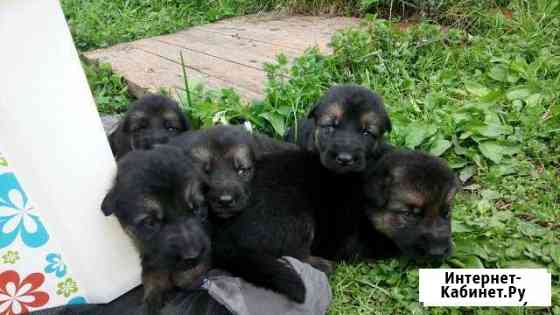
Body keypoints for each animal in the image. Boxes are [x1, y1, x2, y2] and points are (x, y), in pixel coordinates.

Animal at [99, 147, 209, 314]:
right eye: (150, 222)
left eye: (197, 209)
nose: (193, 256)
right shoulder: (148, 252)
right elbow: (152, 273)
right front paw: (154, 295)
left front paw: (188, 278)